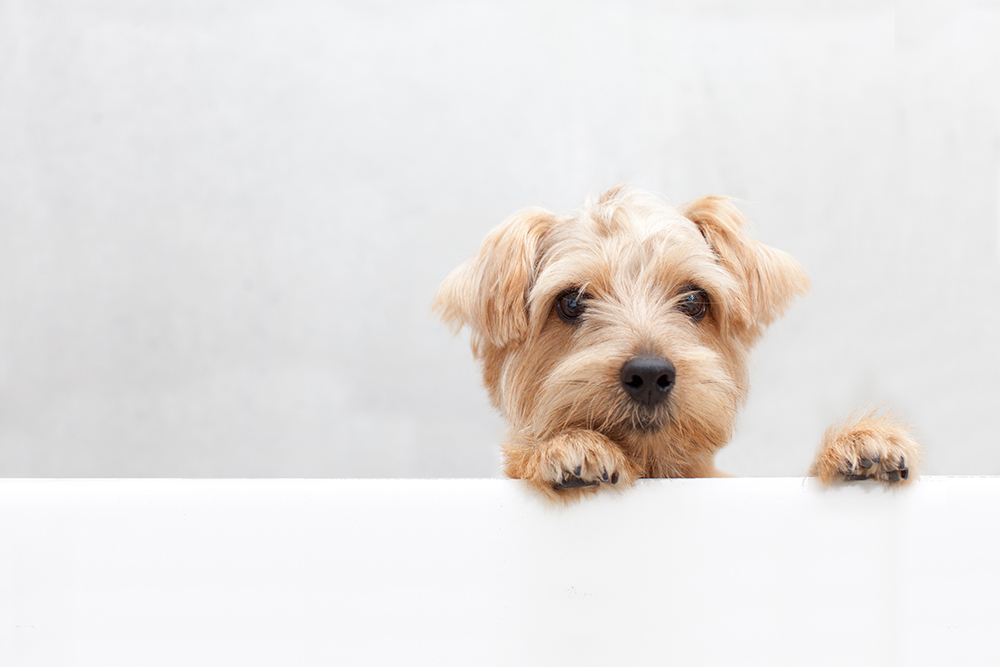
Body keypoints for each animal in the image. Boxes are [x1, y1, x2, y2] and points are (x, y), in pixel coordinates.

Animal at [434, 185, 916, 498]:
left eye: (693, 299)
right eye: (570, 301)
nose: (649, 374)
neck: (653, 471)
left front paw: (861, 446)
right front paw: (568, 447)